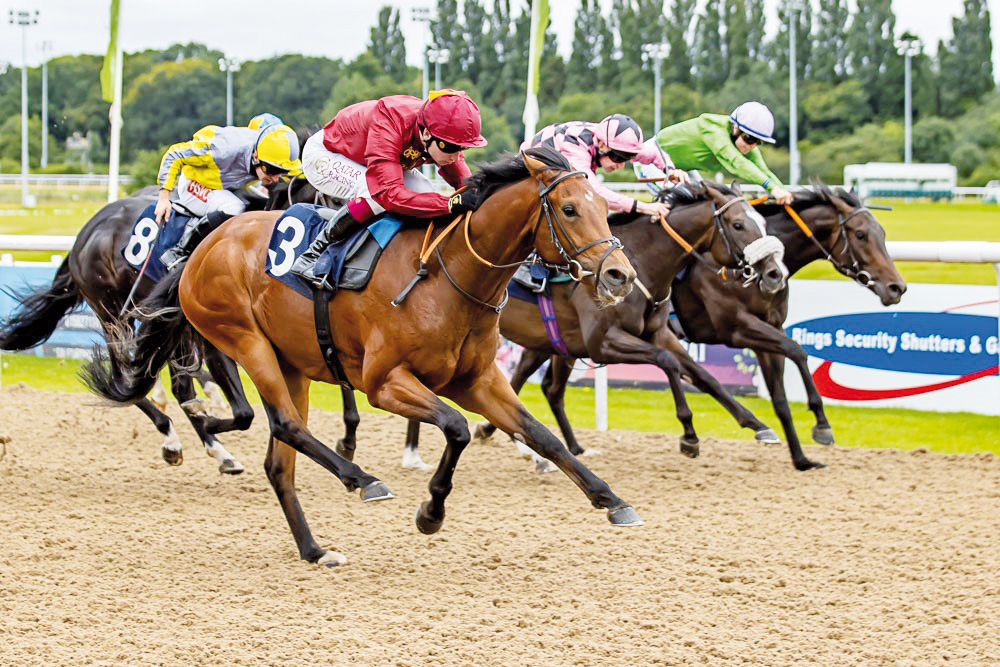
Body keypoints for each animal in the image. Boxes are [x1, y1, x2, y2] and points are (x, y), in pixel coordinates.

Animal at [80, 149, 640, 568]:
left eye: (603, 206)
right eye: (569, 209)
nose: (620, 275)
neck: (449, 272)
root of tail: (204, 243)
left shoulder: (478, 379)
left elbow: (540, 435)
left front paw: (611, 500)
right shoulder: (385, 383)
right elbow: (456, 428)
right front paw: (430, 510)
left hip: (290, 362)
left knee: (279, 457)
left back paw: (313, 548)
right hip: (244, 340)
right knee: (284, 424)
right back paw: (360, 479)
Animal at [390, 177, 788, 470]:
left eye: (762, 221)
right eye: (739, 224)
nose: (774, 273)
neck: (643, 262)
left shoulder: (658, 333)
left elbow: (701, 375)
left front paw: (757, 425)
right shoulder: (603, 342)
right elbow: (668, 363)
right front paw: (689, 434)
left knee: (544, 388)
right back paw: (412, 453)